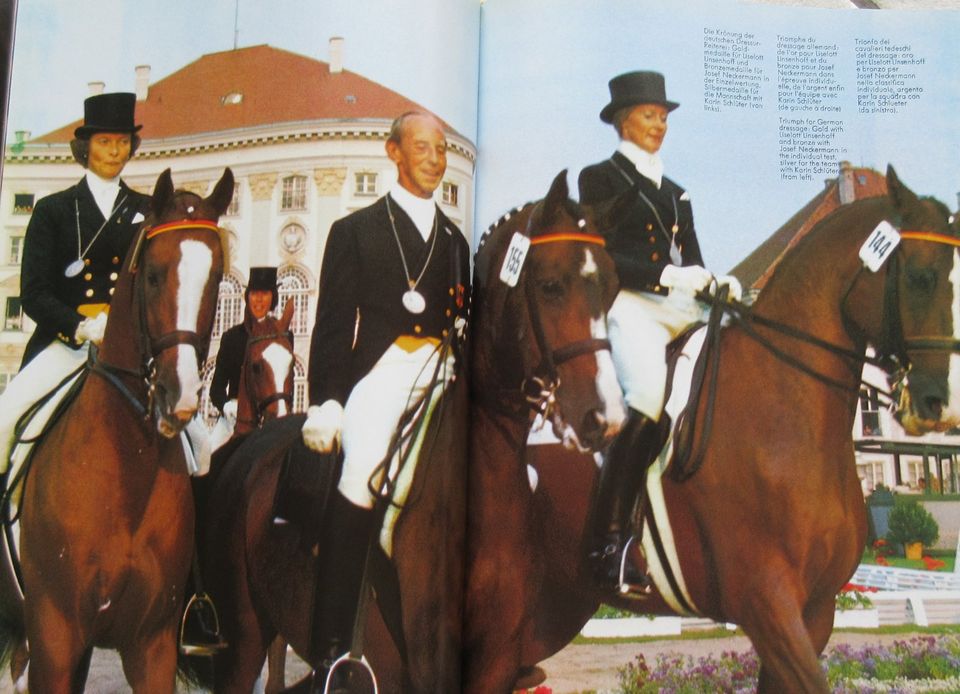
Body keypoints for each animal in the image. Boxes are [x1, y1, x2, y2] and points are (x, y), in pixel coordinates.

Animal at [198, 170, 628, 694]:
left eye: (613, 288)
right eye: (550, 285)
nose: (605, 415)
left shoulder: (495, 664)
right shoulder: (429, 662)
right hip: (242, 638)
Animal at [464, 166, 960, 692]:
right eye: (921, 277)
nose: (941, 402)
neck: (786, 412)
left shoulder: (816, 612)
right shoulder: (768, 605)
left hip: (552, 606)